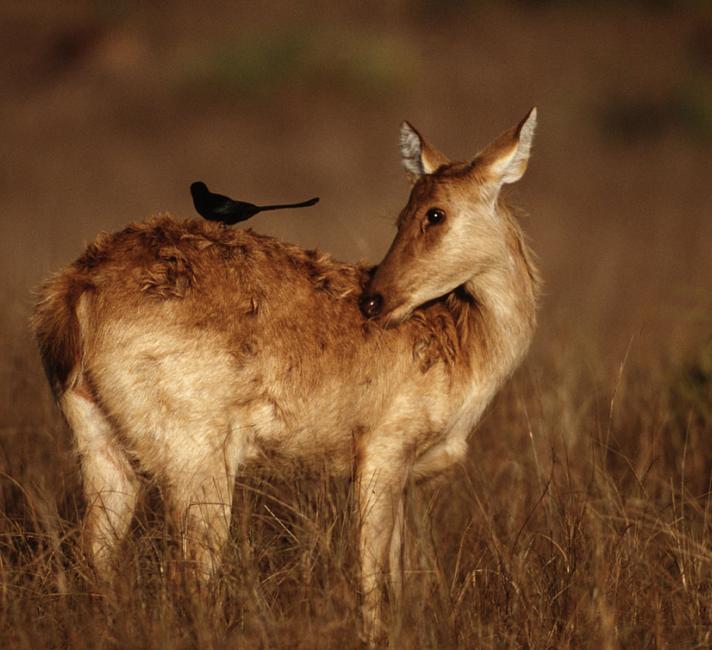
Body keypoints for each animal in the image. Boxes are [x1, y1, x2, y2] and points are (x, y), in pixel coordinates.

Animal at [30, 107, 536, 636]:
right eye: (408, 213)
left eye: (433, 212)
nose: (375, 300)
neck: (466, 343)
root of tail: (71, 292)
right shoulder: (382, 447)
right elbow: (372, 573)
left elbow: (395, 570)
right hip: (195, 456)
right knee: (189, 576)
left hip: (98, 442)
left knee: (95, 554)